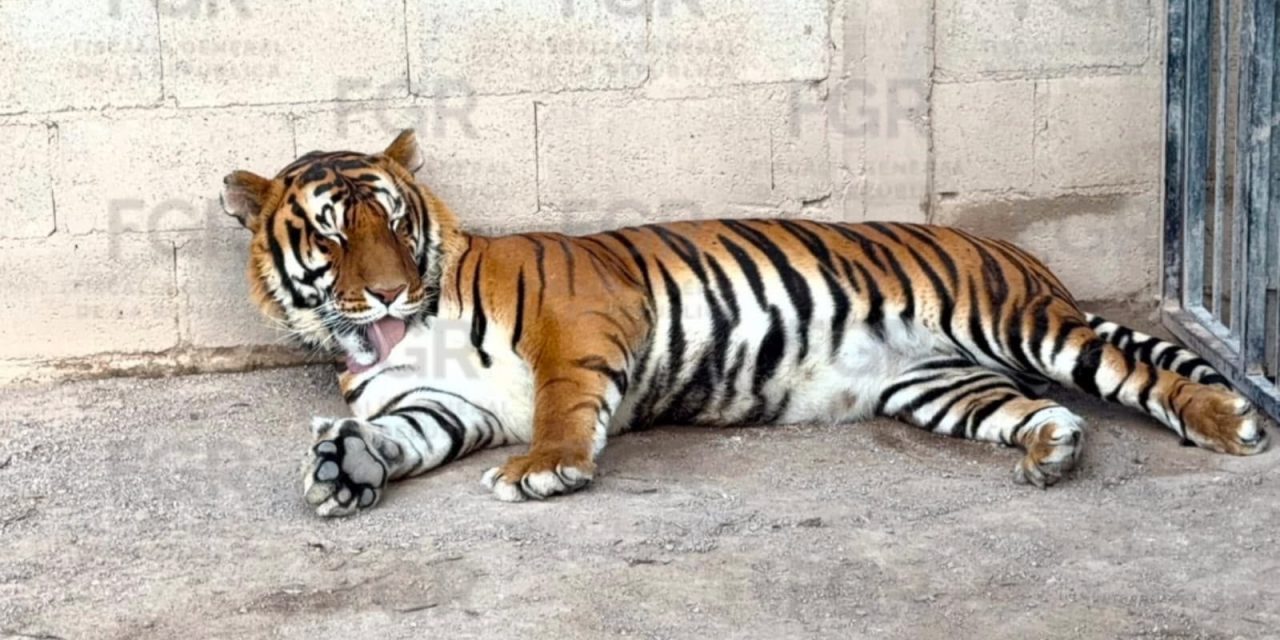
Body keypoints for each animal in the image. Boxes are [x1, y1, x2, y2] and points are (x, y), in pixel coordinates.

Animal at [220, 129, 1269, 517]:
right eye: (332, 232)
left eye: (395, 223)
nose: (390, 294)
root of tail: (1019, 253)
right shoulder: (445, 404)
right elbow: (401, 436)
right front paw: (344, 466)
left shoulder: (581, 319)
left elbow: (562, 403)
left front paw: (545, 467)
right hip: (942, 384)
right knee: (1041, 409)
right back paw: (1053, 451)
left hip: (1021, 323)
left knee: (1133, 371)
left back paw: (1232, 423)